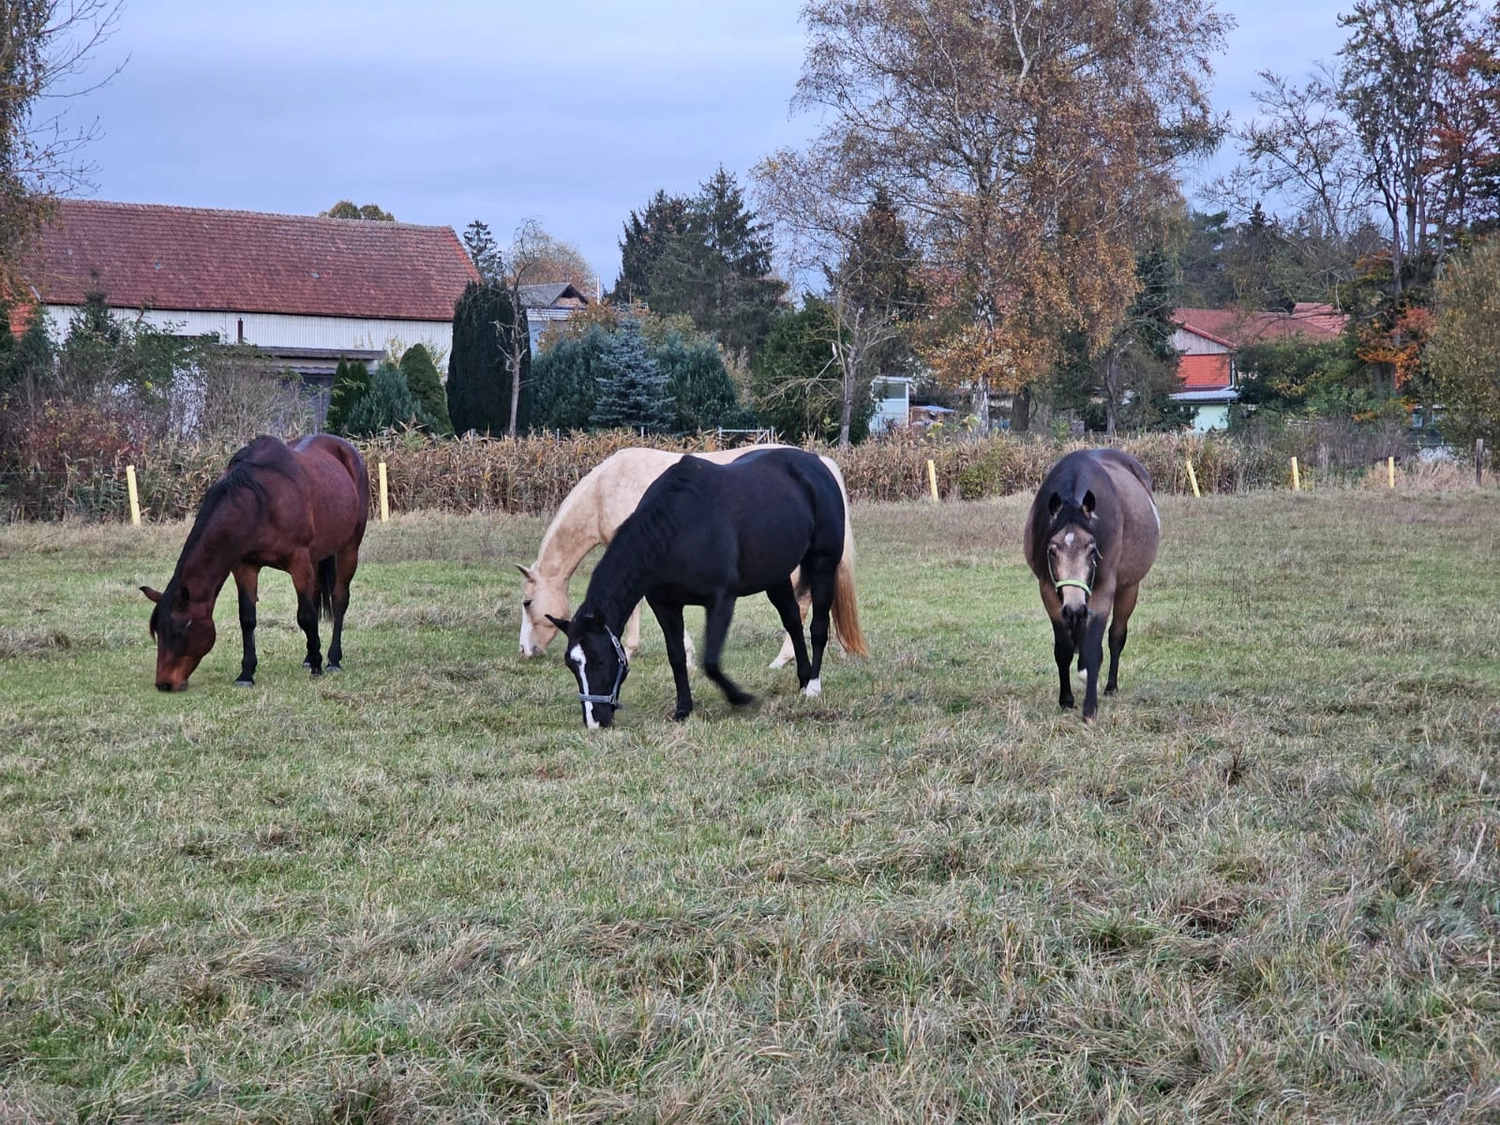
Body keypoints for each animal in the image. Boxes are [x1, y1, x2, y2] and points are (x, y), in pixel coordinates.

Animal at [141, 434, 369, 692]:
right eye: (158, 632)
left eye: (179, 631)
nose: (164, 684)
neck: (259, 502)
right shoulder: (245, 566)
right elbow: (248, 618)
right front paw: (246, 673)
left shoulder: (299, 561)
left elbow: (305, 616)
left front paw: (318, 666)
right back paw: (308, 658)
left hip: (349, 547)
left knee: (340, 599)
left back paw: (332, 659)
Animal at [546, 447, 865, 728]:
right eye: (572, 665)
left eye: (599, 661)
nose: (595, 721)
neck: (677, 528)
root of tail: (817, 463)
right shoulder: (665, 604)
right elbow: (677, 657)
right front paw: (683, 709)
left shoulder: (721, 599)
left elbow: (710, 660)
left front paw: (741, 698)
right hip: (776, 577)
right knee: (793, 622)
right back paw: (802, 679)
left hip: (822, 565)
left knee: (817, 627)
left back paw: (813, 686)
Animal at [1023, 448, 1160, 721]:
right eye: (1051, 550)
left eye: (1093, 549)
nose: (1074, 607)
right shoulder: (1049, 592)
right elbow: (1063, 650)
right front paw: (1066, 700)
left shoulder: (1102, 592)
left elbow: (1096, 649)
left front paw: (1090, 709)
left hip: (1128, 589)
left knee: (1116, 636)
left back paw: (1110, 687)